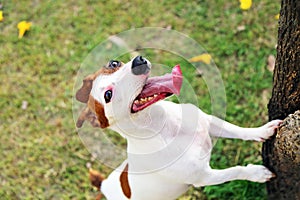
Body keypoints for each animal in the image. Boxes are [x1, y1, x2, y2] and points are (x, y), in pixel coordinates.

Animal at [75, 55, 282, 200]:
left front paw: (262, 131)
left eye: (114, 63)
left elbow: (238, 130)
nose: (138, 61)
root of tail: (104, 186)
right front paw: (256, 173)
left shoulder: (209, 121)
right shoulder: (204, 177)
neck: (165, 125)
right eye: (108, 95)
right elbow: (235, 171)